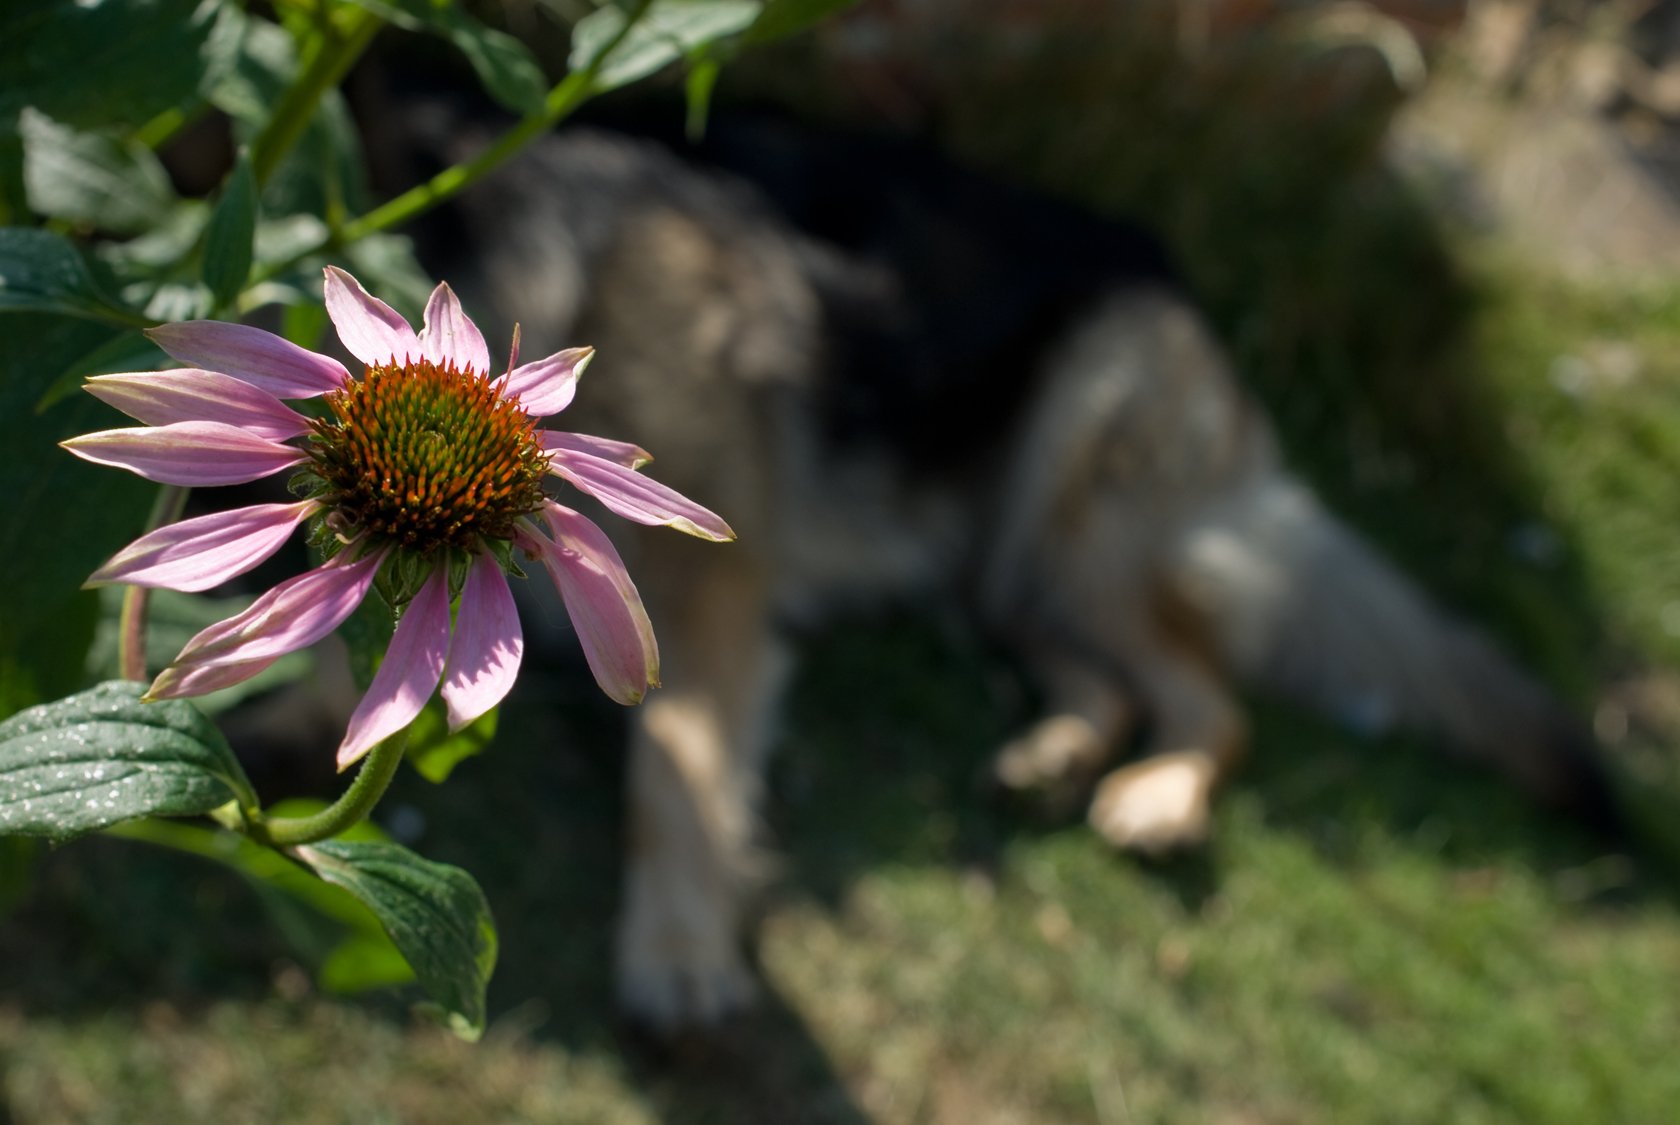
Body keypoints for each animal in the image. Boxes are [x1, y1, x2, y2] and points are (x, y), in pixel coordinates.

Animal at [426, 116, 1619, 1034]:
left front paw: (677, 951)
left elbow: (675, 766)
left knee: (1214, 696)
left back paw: (1157, 797)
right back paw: (1056, 756)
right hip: (998, 569)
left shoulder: (708, 581)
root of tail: (1173, 283)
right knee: (1112, 675)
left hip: (1077, 508)